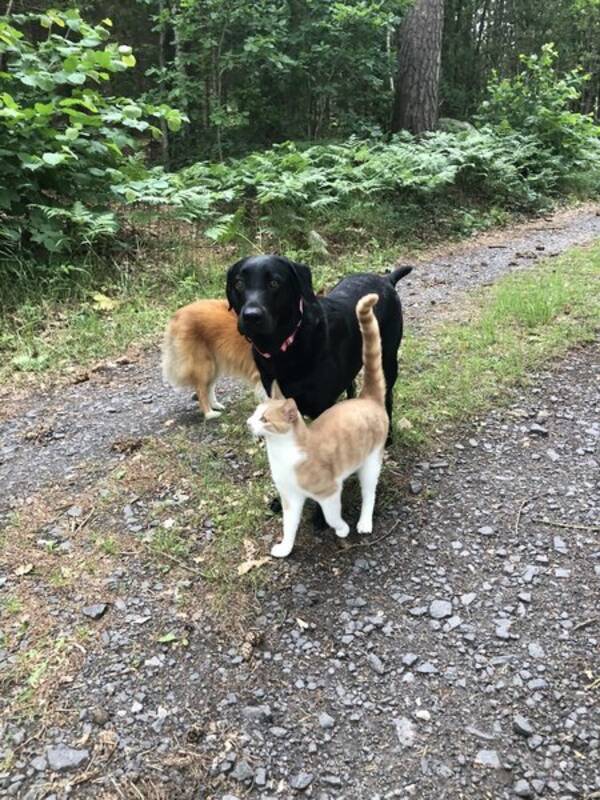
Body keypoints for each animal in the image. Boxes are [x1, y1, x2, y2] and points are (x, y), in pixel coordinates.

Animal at [225, 258, 412, 432]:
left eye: (274, 283)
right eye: (239, 284)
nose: (251, 316)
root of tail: (385, 279)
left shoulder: (322, 407)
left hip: (388, 359)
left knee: (387, 396)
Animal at [247, 292, 390, 556]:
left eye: (264, 419)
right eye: (255, 413)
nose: (248, 423)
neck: (283, 453)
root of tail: (367, 397)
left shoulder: (329, 492)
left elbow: (332, 517)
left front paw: (342, 529)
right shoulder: (290, 498)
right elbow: (288, 525)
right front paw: (285, 548)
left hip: (371, 462)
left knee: (369, 492)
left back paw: (364, 522)